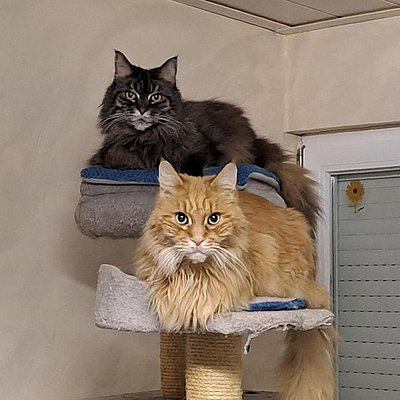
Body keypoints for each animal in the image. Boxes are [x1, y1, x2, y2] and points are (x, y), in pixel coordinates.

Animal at [90, 51, 320, 232]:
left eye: (155, 97)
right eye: (131, 95)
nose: (142, 110)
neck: (148, 137)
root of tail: (255, 137)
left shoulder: (203, 151)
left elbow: (191, 168)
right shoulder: (112, 158)